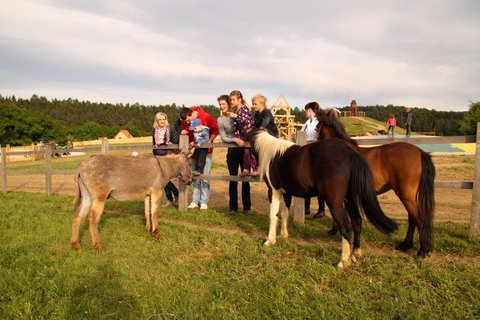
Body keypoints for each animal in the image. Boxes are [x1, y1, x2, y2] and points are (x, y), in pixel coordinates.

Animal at [248, 130, 398, 268]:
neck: (273, 153)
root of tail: (350, 153)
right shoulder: (286, 193)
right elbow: (284, 214)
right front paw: (283, 235)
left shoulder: (273, 192)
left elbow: (273, 216)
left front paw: (269, 241)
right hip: (349, 199)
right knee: (356, 222)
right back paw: (355, 254)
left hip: (334, 202)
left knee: (345, 226)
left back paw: (343, 261)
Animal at [316, 109, 436, 258]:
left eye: (317, 126)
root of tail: (420, 153)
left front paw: (334, 231)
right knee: (412, 219)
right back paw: (405, 245)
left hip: (406, 195)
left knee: (418, 219)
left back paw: (422, 251)